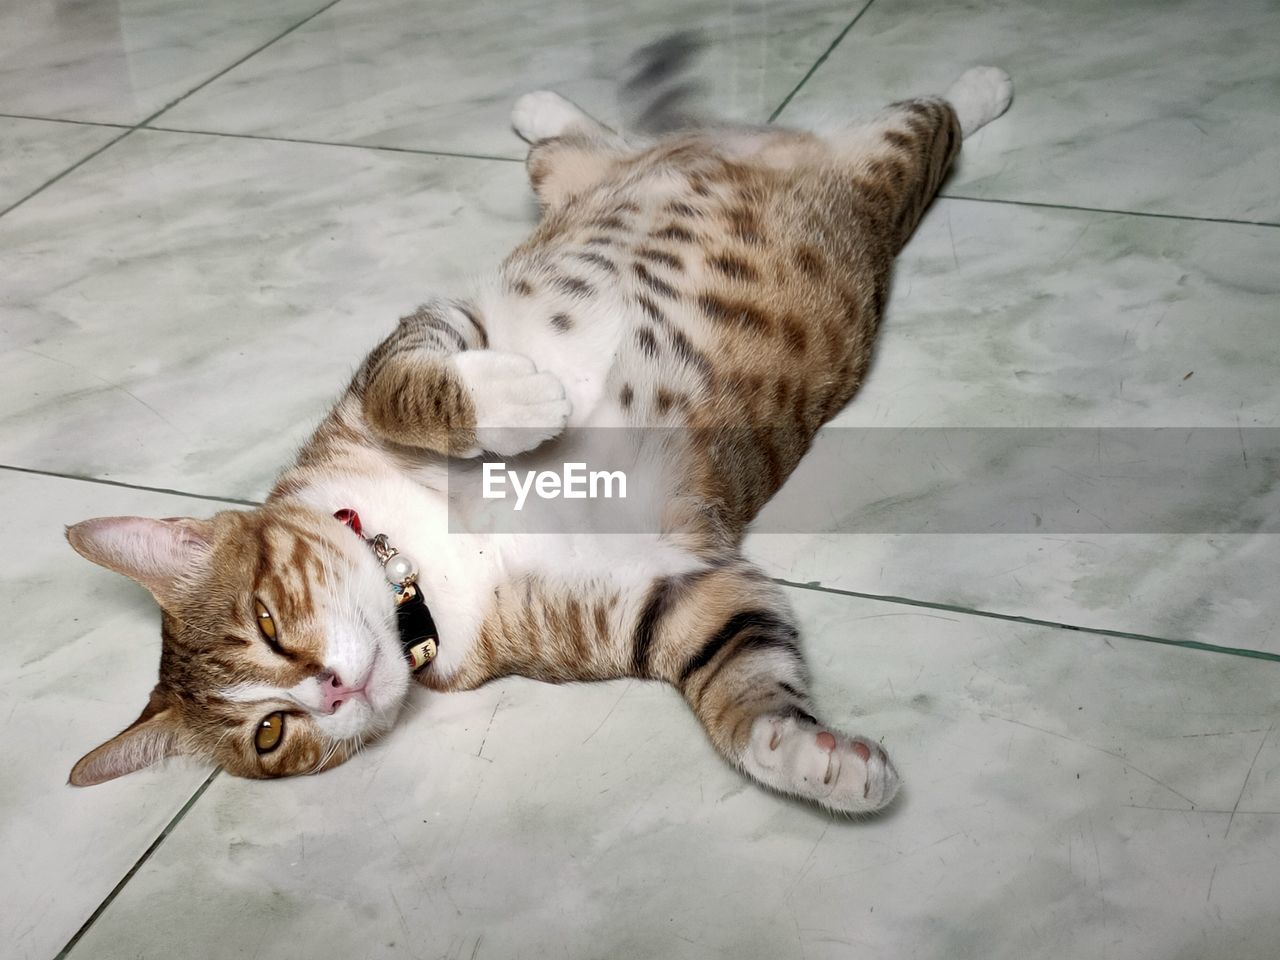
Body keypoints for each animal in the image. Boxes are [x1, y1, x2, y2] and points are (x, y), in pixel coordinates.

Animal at [67, 39, 1008, 819]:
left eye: (266, 620)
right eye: (271, 734)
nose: (332, 691)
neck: (416, 564)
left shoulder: (422, 337)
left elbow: (404, 387)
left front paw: (518, 406)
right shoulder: (655, 590)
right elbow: (738, 666)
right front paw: (811, 758)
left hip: (889, 164)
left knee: (938, 115)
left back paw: (986, 81)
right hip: (579, 175)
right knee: (575, 143)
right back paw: (544, 107)